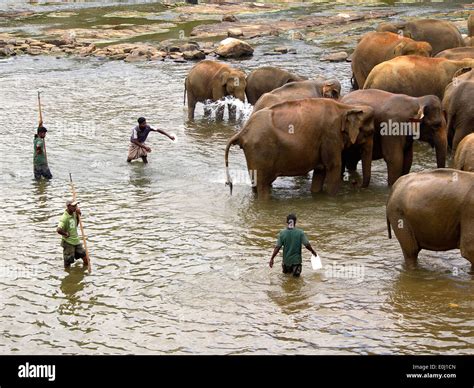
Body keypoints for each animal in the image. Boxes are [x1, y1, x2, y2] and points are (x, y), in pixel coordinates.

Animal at [224, 98, 376, 199]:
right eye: (370, 132)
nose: (356, 184)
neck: (346, 107)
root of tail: (242, 132)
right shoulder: (330, 135)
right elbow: (334, 167)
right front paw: (331, 199)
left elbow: (320, 171)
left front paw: (317, 196)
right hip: (260, 151)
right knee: (262, 185)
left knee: (256, 185)